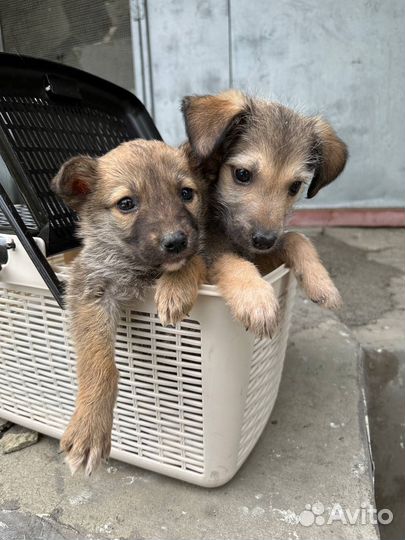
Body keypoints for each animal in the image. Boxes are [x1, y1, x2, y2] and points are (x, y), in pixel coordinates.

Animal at [51, 139, 205, 472]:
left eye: (186, 193)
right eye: (126, 204)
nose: (176, 242)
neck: (142, 270)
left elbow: (195, 259)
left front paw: (175, 290)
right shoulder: (91, 290)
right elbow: (99, 365)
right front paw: (89, 428)